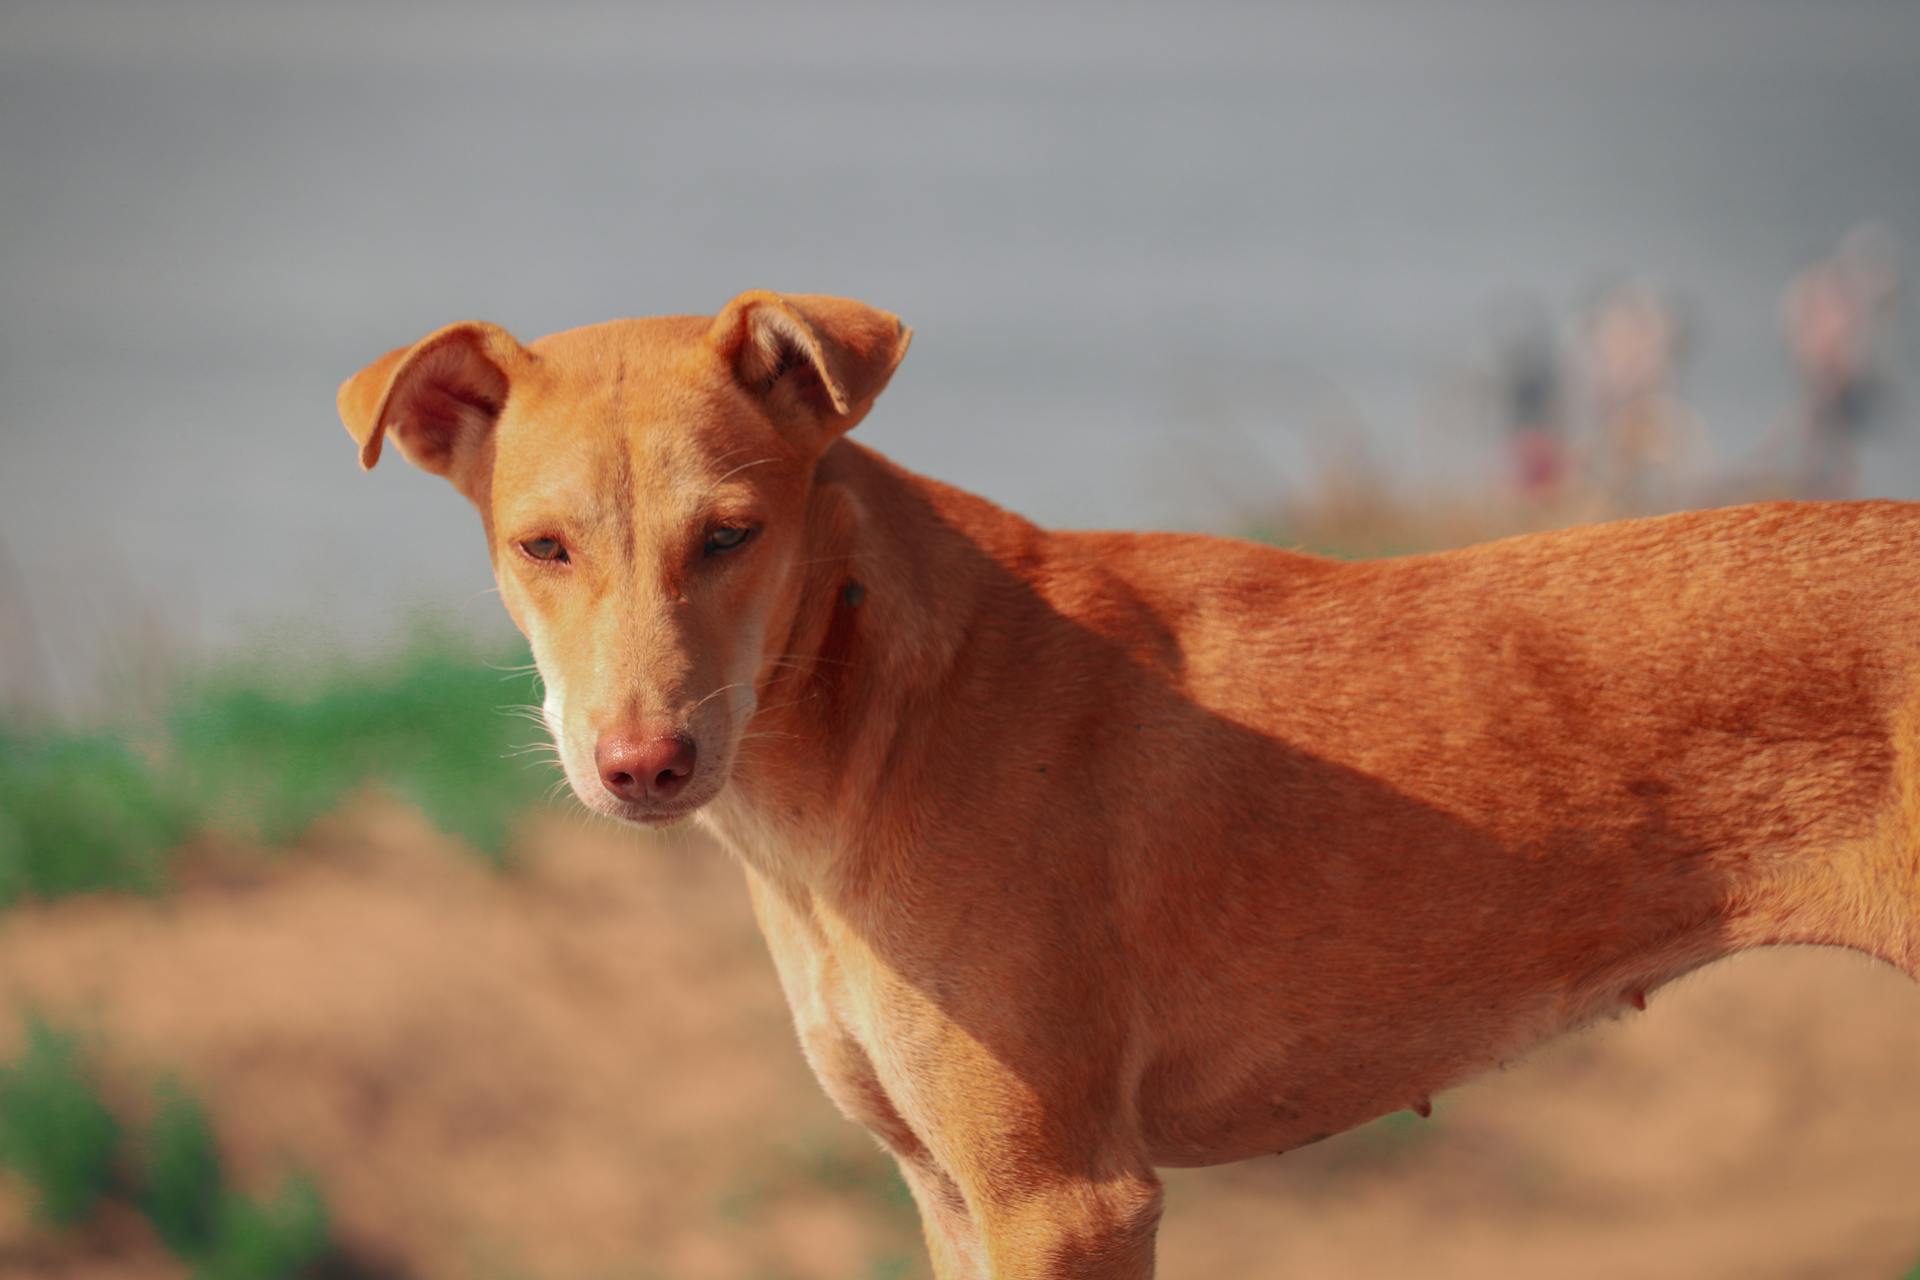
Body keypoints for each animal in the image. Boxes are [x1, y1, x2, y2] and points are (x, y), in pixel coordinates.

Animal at [341, 293, 1920, 1280]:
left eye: (729, 534)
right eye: (542, 546)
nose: (643, 763)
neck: (873, 718)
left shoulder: (1065, 1196)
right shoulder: (949, 1188)